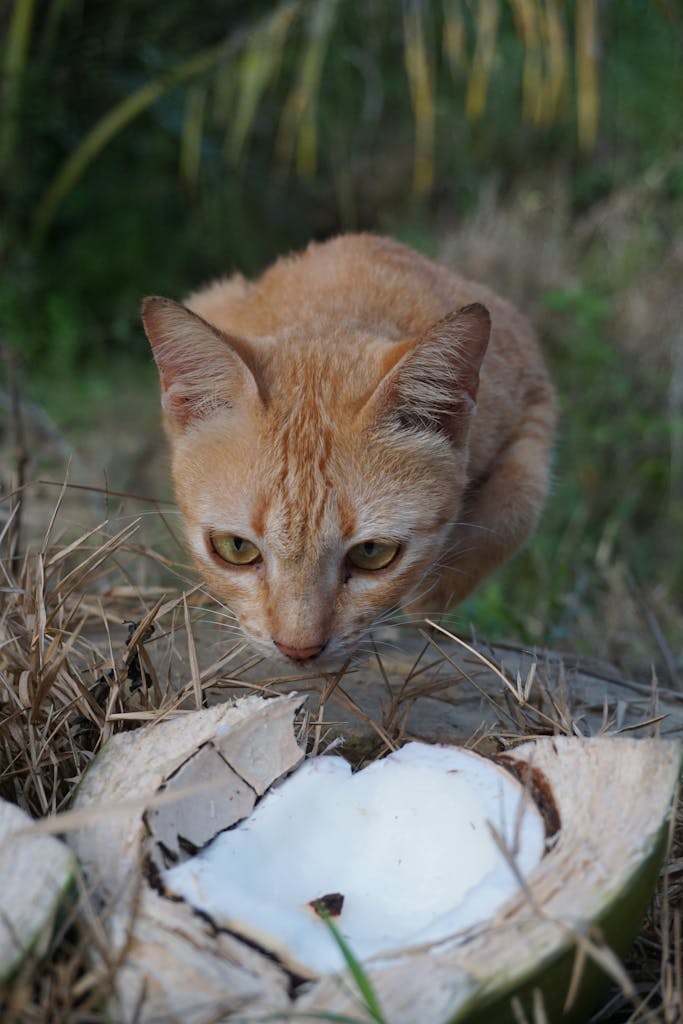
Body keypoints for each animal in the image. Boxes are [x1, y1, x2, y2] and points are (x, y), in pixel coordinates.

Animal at [144, 234, 557, 667]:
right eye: (236, 548)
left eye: (372, 553)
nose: (299, 650)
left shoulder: (534, 393)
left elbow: (515, 507)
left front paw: (433, 595)